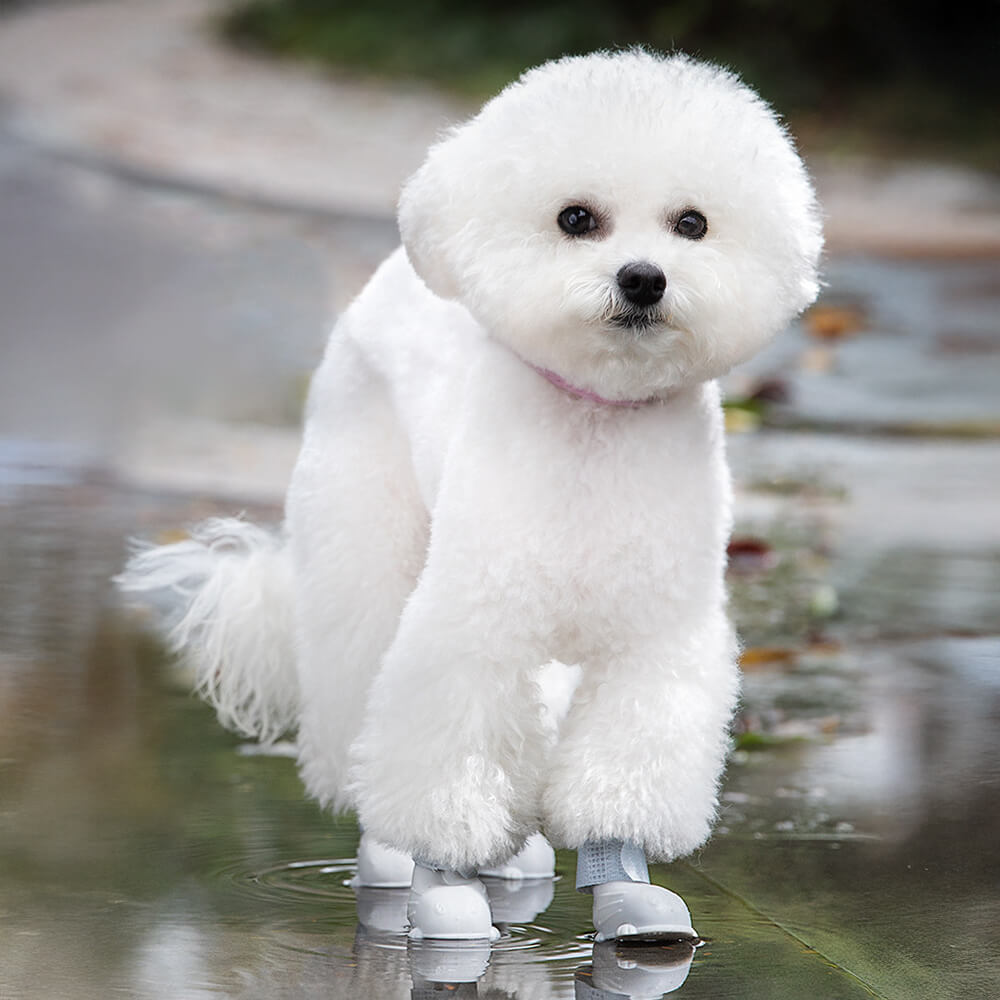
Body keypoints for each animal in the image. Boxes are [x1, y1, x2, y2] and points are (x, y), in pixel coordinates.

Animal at [119, 48, 820, 944]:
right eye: (576, 219)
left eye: (692, 224)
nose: (643, 278)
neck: (596, 417)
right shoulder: (473, 627)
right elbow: (445, 758)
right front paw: (446, 887)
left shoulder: (654, 641)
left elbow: (622, 770)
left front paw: (628, 893)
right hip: (366, 554)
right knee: (364, 722)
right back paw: (393, 864)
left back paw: (518, 862)